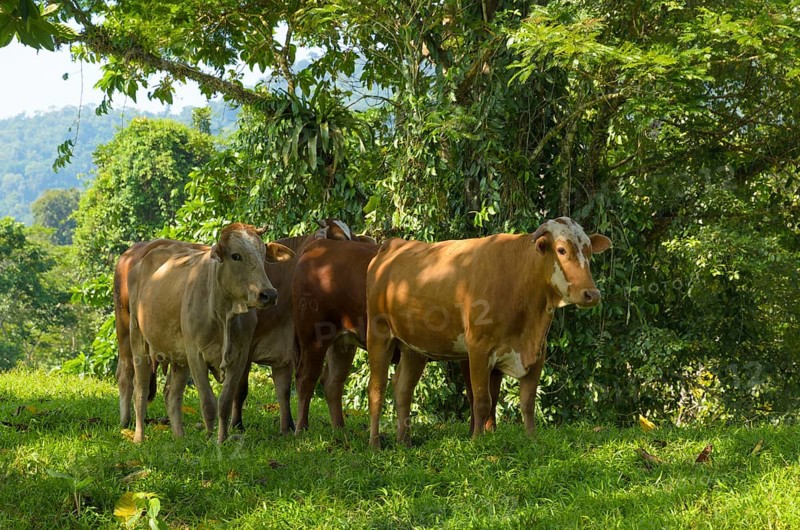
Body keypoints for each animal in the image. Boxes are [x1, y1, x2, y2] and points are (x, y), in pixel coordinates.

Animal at [124, 223, 294, 443]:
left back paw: (179, 437)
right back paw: (139, 437)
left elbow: (225, 402)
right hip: (138, 340)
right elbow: (208, 402)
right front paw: (208, 438)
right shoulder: (196, 355)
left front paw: (221, 440)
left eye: (263, 254)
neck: (223, 312)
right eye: (236, 256)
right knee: (141, 390)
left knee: (172, 394)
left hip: (180, 358)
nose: (269, 294)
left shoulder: (240, 357)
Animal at [365, 217, 611, 448]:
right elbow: (482, 400)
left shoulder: (537, 352)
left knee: (403, 389)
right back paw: (375, 445)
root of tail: (392, 245)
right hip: (378, 335)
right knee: (376, 390)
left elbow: (527, 402)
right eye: (561, 250)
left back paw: (404, 443)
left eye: (589, 251)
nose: (592, 294)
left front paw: (532, 440)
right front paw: (476, 441)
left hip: (414, 347)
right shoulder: (478, 349)